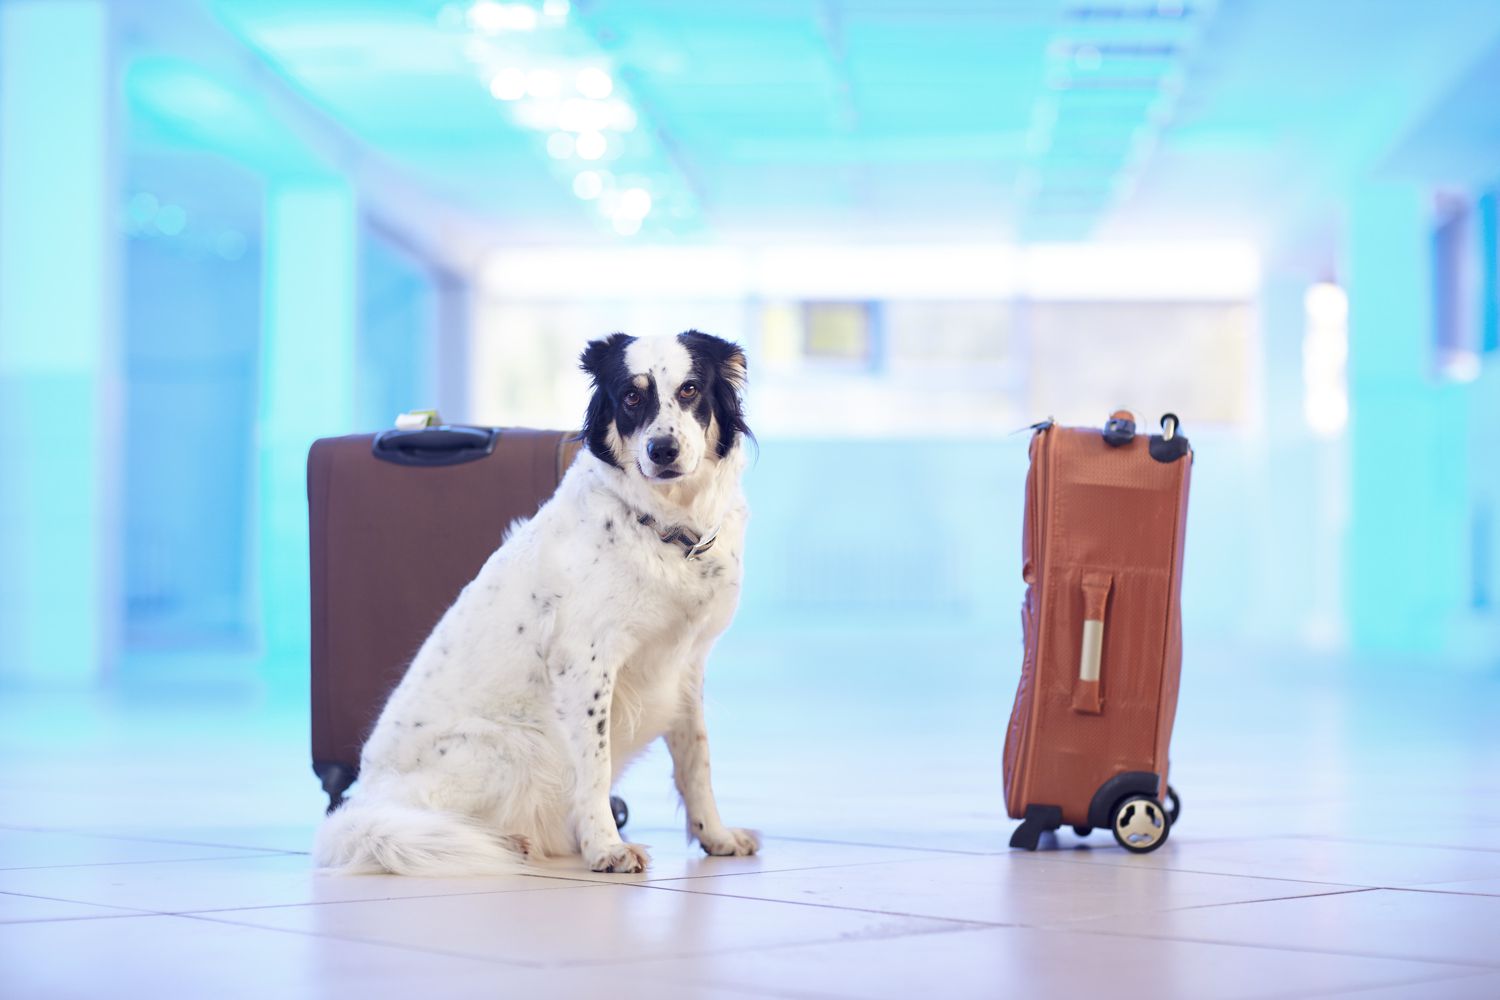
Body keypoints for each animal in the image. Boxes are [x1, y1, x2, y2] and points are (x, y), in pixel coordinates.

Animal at [318, 332, 762, 869]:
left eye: (691, 389)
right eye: (631, 397)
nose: (663, 449)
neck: (664, 527)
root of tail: (363, 807)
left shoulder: (685, 668)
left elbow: (696, 762)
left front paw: (714, 835)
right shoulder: (585, 667)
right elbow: (594, 768)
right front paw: (605, 846)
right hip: (507, 747)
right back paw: (507, 843)